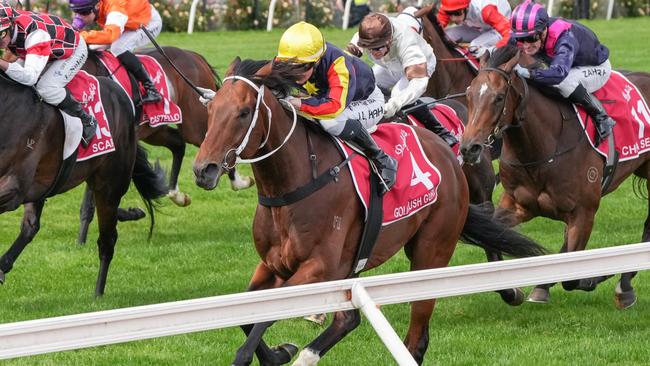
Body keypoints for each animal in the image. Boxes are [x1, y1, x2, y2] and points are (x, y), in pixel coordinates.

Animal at [0, 73, 168, 296]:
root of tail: (121, 95)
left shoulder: (14, 186)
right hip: (45, 185)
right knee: (31, 227)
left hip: (109, 184)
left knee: (107, 240)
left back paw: (98, 294)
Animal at [77, 47, 254, 244]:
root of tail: (194, 56)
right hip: (155, 129)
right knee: (178, 143)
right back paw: (176, 194)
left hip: (195, 125)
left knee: (219, 145)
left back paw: (238, 182)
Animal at [192, 58, 548, 364]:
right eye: (211, 108)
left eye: (243, 112)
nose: (203, 170)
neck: (293, 186)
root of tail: (447, 152)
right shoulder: (273, 265)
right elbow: (248, 316)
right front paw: (280, 352)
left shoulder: (319, 267)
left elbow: (263, 321)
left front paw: (261, 354)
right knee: (349, 319)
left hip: (431, 251)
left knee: (415, 338)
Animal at [458, 45, 650, 308]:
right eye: (469, 94)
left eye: (498, 97)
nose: (469, 148)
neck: (543, 148)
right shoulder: (517, 205)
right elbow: (492, 236)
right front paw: (518, 290)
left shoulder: (584, 212)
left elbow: (571, 278)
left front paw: (597, 276)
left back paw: (625, 286)